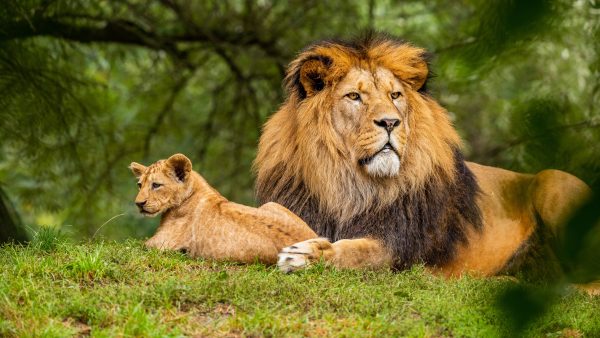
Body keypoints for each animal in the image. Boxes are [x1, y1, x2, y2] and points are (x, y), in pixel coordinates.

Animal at [253, 34, 592, 278]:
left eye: (395, 95)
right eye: (354, 96)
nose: (390, 122)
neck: (349, 183)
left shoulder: (398, 247)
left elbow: (355, 252)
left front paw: (305, 256)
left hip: (553, 181)